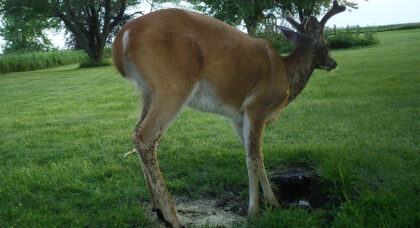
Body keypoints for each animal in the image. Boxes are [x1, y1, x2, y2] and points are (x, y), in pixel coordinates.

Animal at [110, 1, 344, 226]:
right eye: (327, 45)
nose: (334, 63)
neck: (287, 77)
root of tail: (123, 37)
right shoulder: (256, 106)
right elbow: (253, 156)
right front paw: (254, 211)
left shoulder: (238, 117)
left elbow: (258, 154)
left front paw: (273, 201)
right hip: (174, 83)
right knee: (145, 138)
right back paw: (173, 218)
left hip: (149, 90)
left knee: (135, 133)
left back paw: (158, 209)